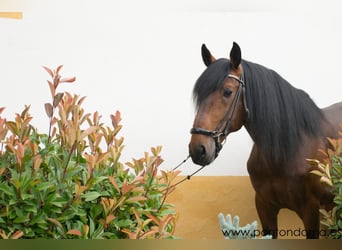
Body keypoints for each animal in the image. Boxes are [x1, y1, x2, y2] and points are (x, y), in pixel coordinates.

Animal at [188, 42, 342, 239]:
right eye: (199, 96)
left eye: (228, 92)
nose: (198, 149)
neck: (287, 150)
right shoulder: (264, 207)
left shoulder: (312, 212)